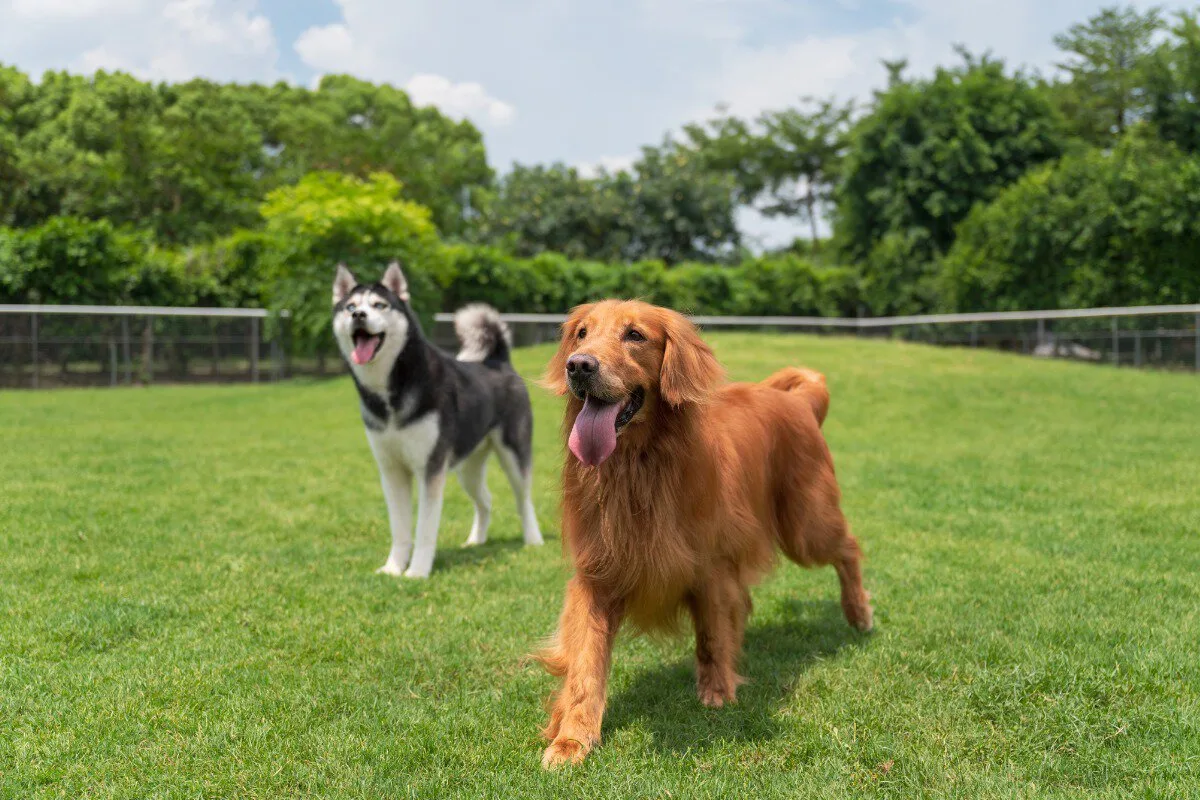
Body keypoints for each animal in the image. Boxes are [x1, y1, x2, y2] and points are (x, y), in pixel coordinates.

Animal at [336, 266, 547, 578]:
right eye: (350, 306)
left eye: (379, 305)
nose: (358, 316)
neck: (392, 391)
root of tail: (499, 361)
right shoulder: (391, 470)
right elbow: (400, 529)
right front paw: (393, 568)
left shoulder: (431, 469)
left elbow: (424, 528)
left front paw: (417, 573)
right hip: (467, 468)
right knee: (486, 500)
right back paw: (476, 540)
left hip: (513, 454)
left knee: (524, 500)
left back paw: (533, 539)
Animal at [537, 299, 873, 767]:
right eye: (581, 333)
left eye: (635, 335)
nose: (579, 366)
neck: (639, 465)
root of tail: (799, 401)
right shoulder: (597, 574)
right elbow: (585, 663)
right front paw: (572, 738)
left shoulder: (711, 565)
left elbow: (712, 634)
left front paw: (717, 692)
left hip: (806, 525)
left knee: (849, 548)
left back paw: (859, 611)